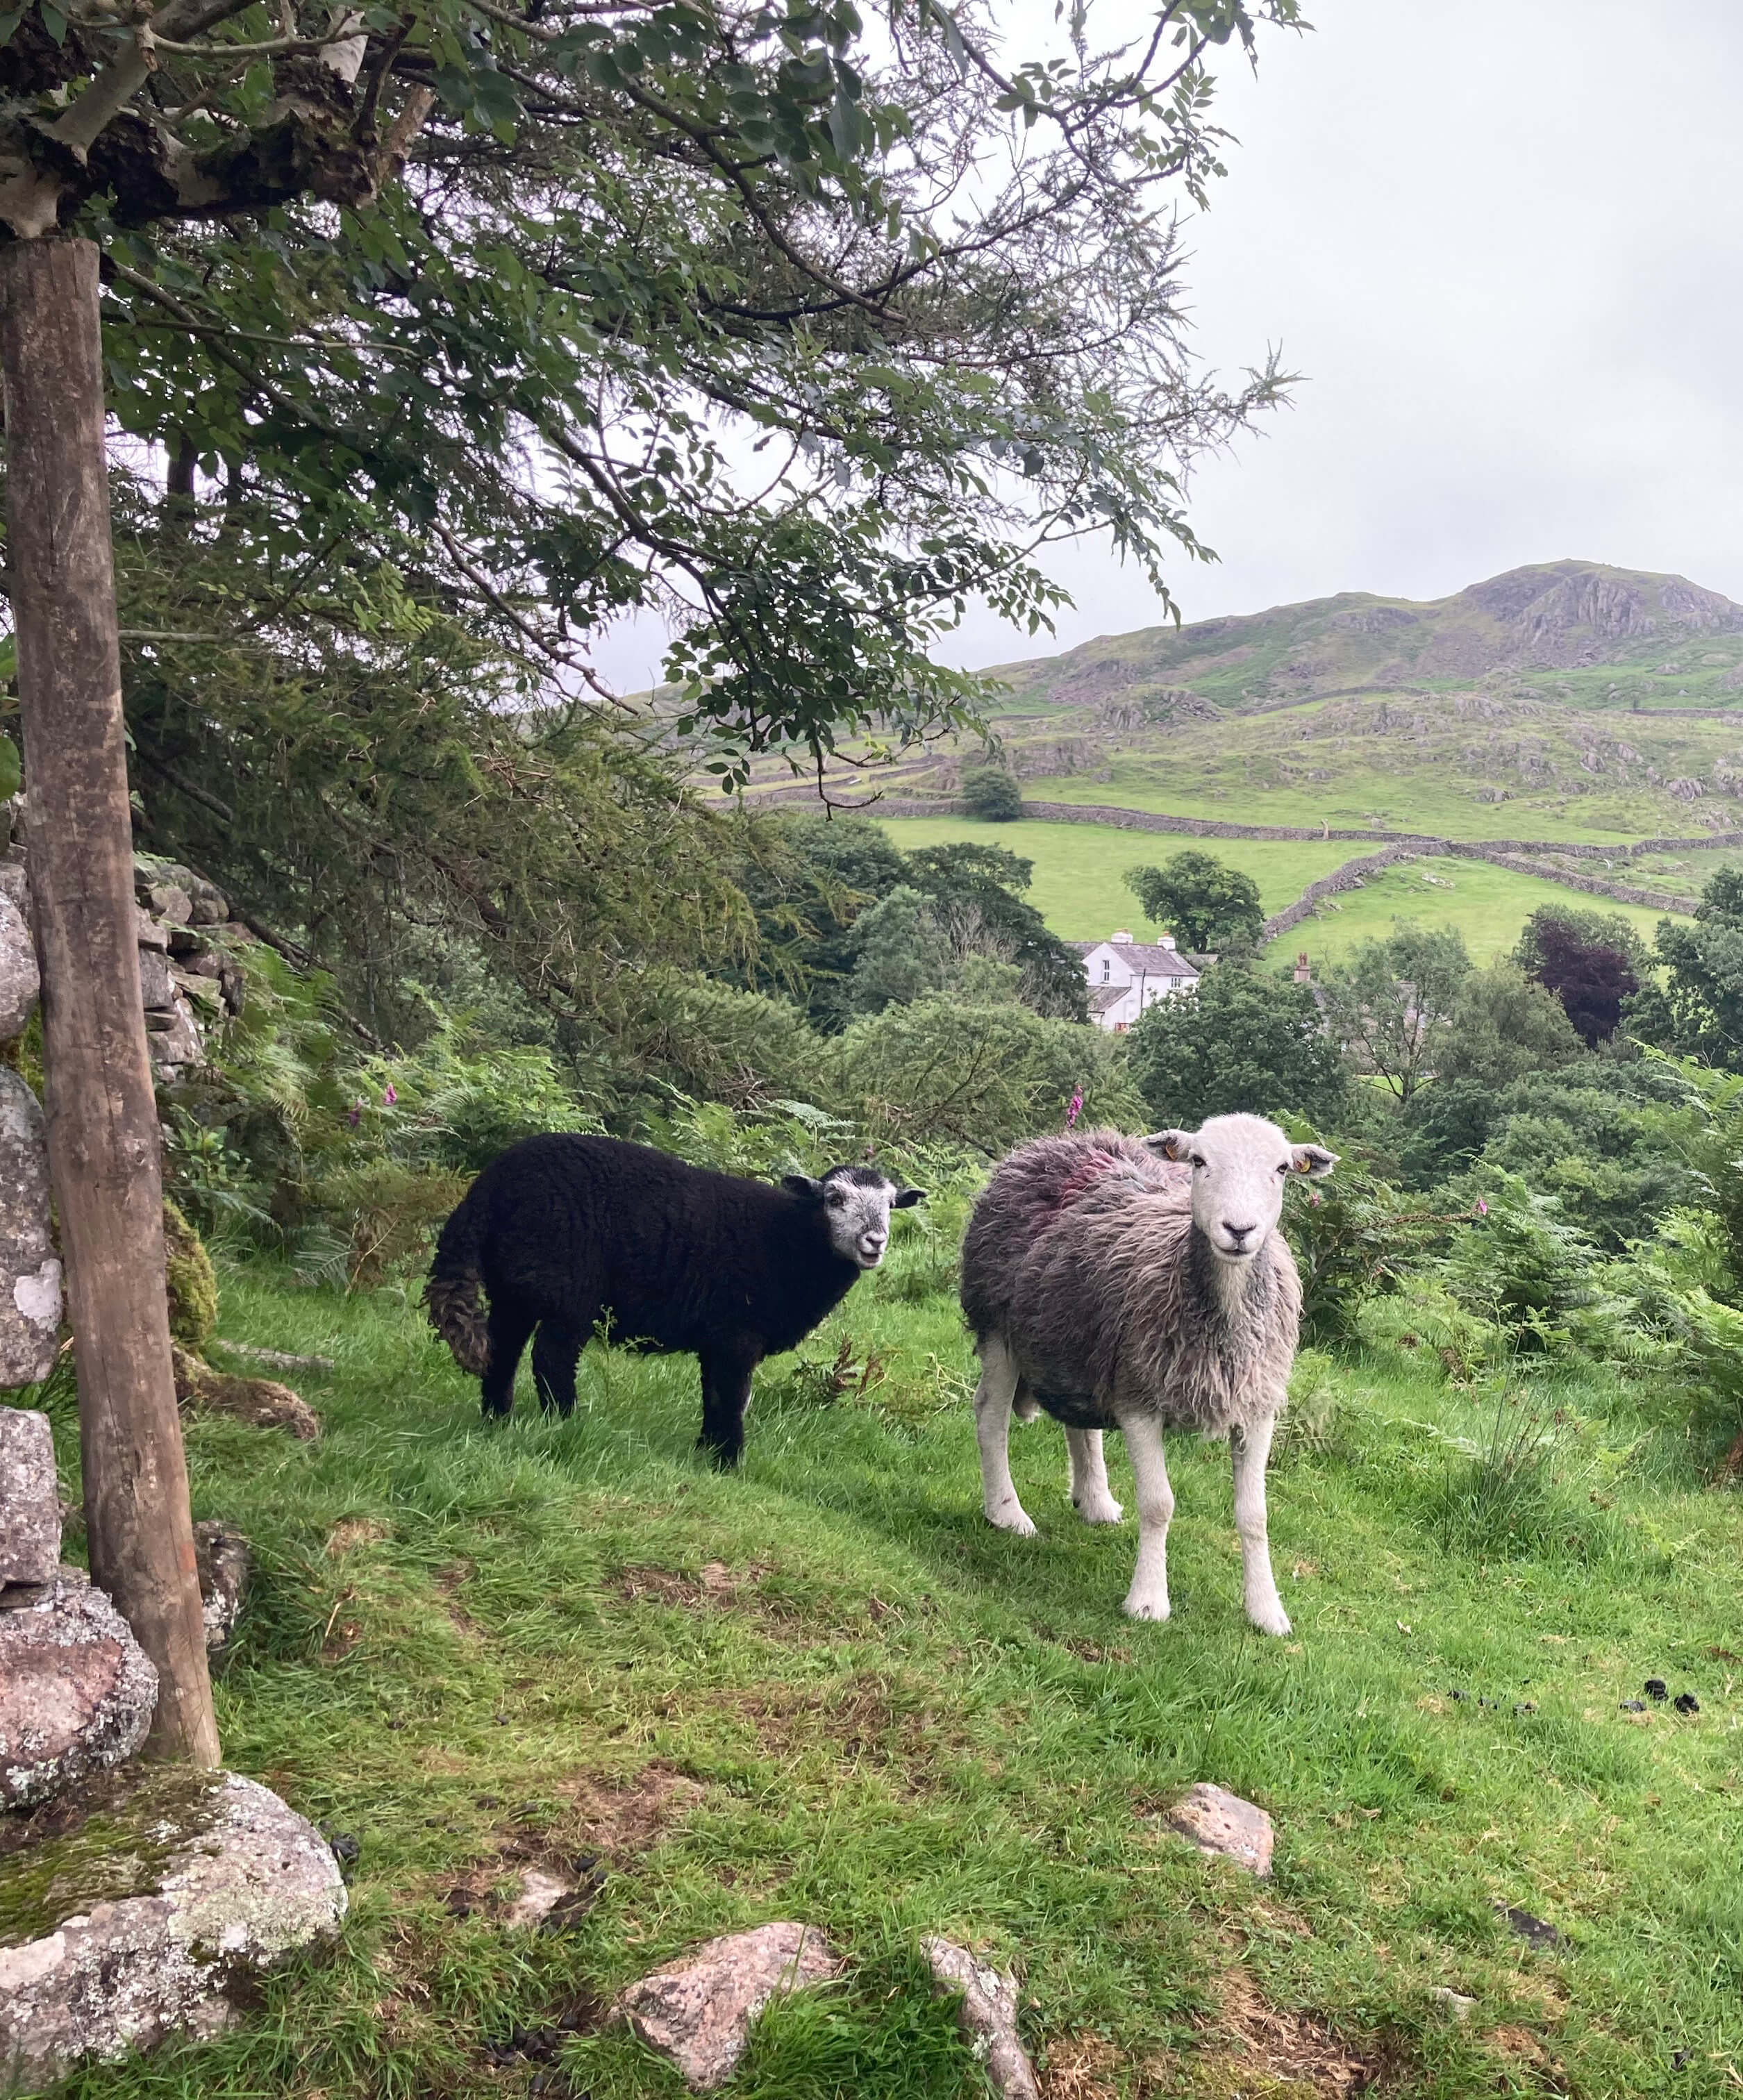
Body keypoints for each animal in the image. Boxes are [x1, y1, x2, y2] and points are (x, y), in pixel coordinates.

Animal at [425, 1133, 924, 1465]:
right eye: (834, 1199)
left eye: (891, 1204)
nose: (875, 1242)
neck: (792, 1241)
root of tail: (488, 1187)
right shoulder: (737, 1332)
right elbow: (733, 1396)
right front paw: (729, 1461)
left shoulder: (717, 1337)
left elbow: (714, 1395)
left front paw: (706, 1451)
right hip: (566, 1283)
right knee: (551, 1357)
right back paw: (564, 1421)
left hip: (515, 1283)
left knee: (503, 1348)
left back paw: (497, 1418)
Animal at [958, 1114, 1335, 1631]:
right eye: (1198, 1161)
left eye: (1281, 1169)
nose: (1239, 1230)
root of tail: (1054, 1141)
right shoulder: (1140, 1398)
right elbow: (1158, 1505)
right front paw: (1149, 1601)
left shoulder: (1257, 1407)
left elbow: (1254, 1514)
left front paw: (1266, 1610)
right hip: (998, 1326)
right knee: (990, 1417)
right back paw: (1006, 1513)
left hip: (1080, 1340)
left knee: (1080, 1424)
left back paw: (1095, 1501)